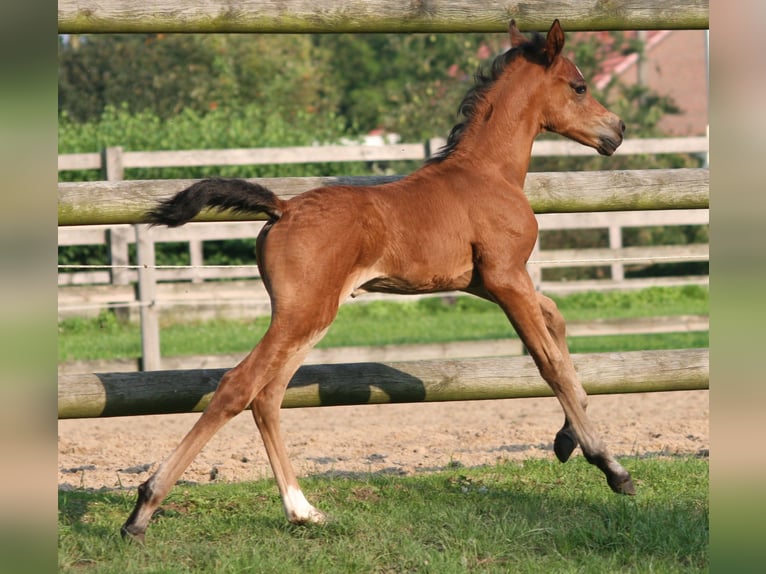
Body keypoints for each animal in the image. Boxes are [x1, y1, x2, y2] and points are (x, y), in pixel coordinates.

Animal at [121, 16, 636, 540]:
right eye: (579, 86)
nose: (617, 129)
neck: (488, 174)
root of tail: (282, 208)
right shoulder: (505, 277)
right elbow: (549, 363)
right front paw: (609, 466)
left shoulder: (485, 282)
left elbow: (557, 324)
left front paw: (567, 439)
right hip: (305, 312)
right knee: (237, 386)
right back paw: (143, 508)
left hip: (309, 316)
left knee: (268, 395)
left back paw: (302, 509)